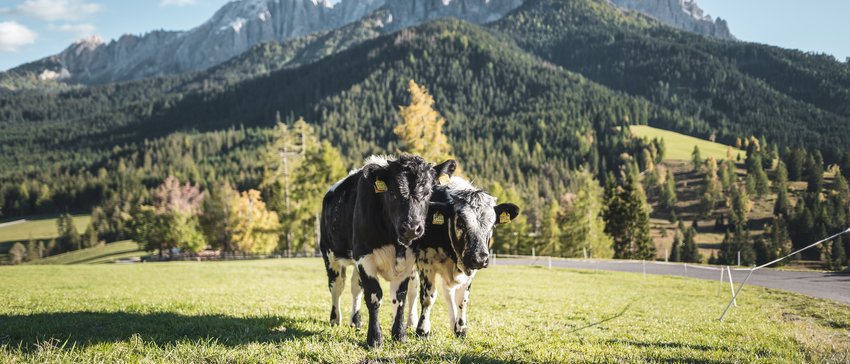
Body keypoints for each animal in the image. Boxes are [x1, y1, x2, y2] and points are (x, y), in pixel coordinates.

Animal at [318, 154, 454, 346]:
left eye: (428, 193)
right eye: (393, 193)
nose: (411, 228)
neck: (395, 243)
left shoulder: (407, 261)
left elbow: (400, 297)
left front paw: (399, 335)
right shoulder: (365, 257)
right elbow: (374, 296)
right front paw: (374, 338)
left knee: (355, 287)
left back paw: (355, 321)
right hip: (330, 254)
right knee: (336, 286)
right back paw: (335, 319)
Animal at [406, 176, 516, 338]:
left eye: (492, 226)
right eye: (461, 223)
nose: (480, 258)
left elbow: (462, 300)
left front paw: (461, 328)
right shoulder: (425, 262)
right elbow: (428, 298)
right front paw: (422, 330)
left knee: (448, 293)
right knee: (412, 290)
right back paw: (410, 323)